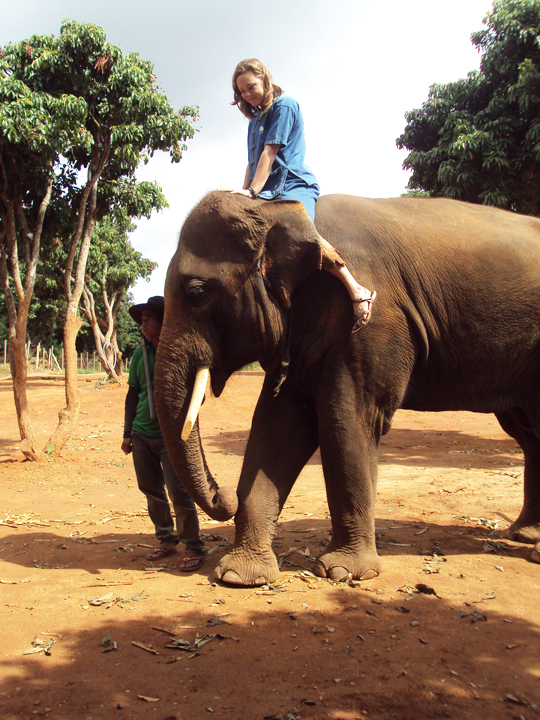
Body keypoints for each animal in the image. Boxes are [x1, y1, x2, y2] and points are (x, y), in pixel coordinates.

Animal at [154, 190, 540, 586]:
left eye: (196, 291)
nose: (225, 496)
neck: (280, 211)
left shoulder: (369, 326)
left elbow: (347, 419)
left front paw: (344, 572)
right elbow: (277, 427)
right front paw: (239, 576)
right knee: (527, 433)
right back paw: (523, 534)